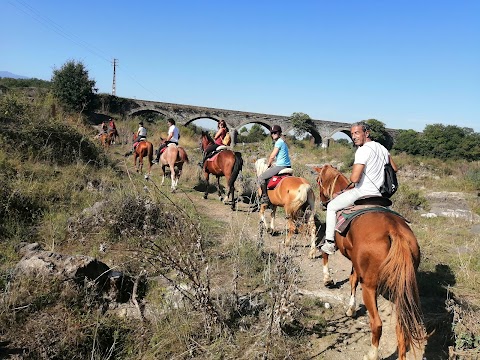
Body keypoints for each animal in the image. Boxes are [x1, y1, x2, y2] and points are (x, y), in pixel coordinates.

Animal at [316, 164, 424, 360]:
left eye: (318, 180)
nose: (323, 202)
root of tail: (394, 231)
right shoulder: (356, 263)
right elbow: (352, 279)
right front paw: (351, 308)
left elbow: (326, 253)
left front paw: (328, 279)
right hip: (399, 288)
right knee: (401, 328)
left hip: (370, 287)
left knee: (377, 323)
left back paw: (372, 354)